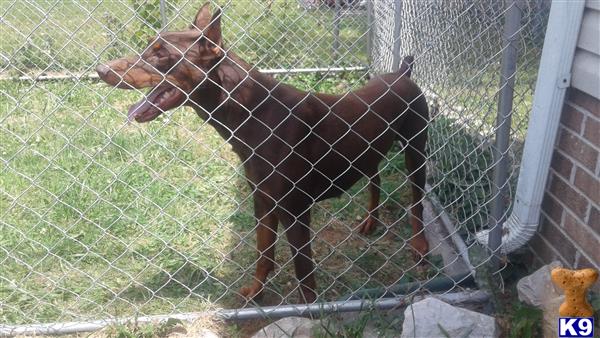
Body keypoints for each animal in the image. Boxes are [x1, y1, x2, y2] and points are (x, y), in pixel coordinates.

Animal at [96, 3, 426, 304]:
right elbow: (263, 252)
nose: (101, 70)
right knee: (375, 177)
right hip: (369, 149)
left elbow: (303, 269)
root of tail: (403, 73)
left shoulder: (295, 210)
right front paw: (255, 292)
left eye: (161, 54)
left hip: (416, 149)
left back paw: (420, 246)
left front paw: (310, 310)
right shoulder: (263, 200)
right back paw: (371, 220)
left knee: (417, 202)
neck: (252, 113)